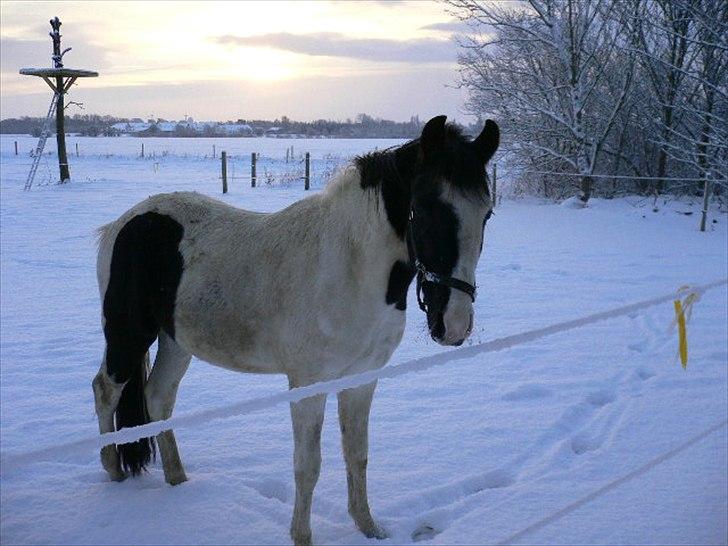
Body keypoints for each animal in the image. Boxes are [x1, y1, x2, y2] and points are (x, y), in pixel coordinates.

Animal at [91, 113, 500, 540]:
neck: (349, 267)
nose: (454, 324)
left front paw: (369, 528)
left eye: (486, 213)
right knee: (105, 390)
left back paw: (177, 479)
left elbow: (357, 454)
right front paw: (302, 537)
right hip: (127, 334)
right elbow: (308, 466)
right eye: (425, 208)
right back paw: (114, 472)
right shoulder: (308, 384)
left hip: (176, 341)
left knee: (158, 398)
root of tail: (126, 222)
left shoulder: (362, 379)